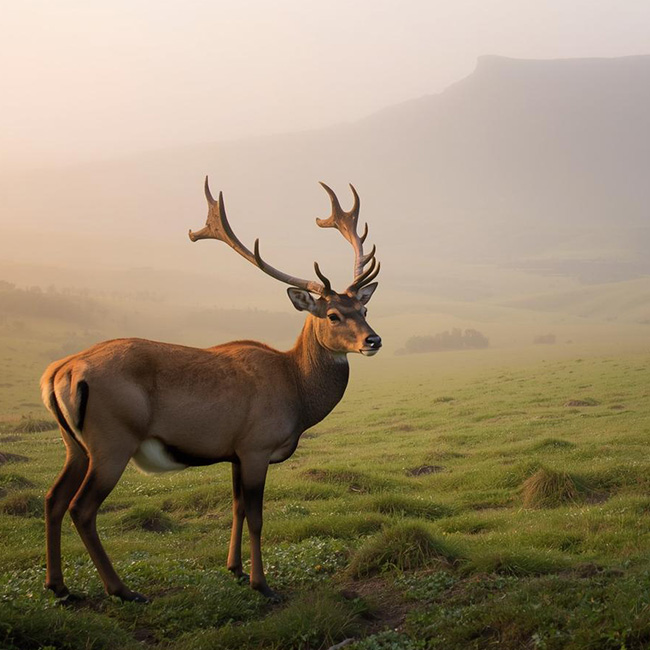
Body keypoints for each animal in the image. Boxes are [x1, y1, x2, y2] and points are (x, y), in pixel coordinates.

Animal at [40, 178, 381, 603]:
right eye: (333, 315)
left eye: (364, 310)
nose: (373, 340)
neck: (296, 394)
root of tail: (59, 372)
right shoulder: (256, 446)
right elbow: (257, 517)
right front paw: (262, 584)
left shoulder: (234, 451)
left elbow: (236, 509)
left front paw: (234, 568)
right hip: (112, 441)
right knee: (81, 508)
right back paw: (122, 590)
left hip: (74, 445)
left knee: (53, 498)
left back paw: (59, 586)